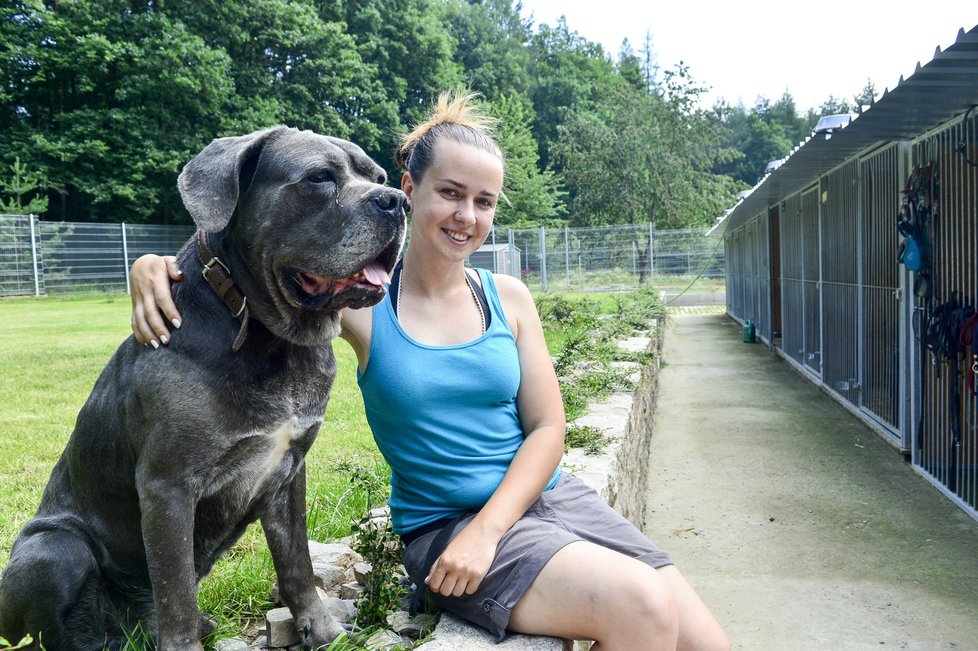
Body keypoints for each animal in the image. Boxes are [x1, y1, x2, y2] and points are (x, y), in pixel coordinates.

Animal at [0, 127, 406, 651]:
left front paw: (323, 630)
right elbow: (175, 593)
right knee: (52, 630)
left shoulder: (289, 473)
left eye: (377, 176)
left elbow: (297, 564)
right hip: (53, 548)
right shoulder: (168, 486)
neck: (271, 336)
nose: (396, 201)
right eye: (319, 178)